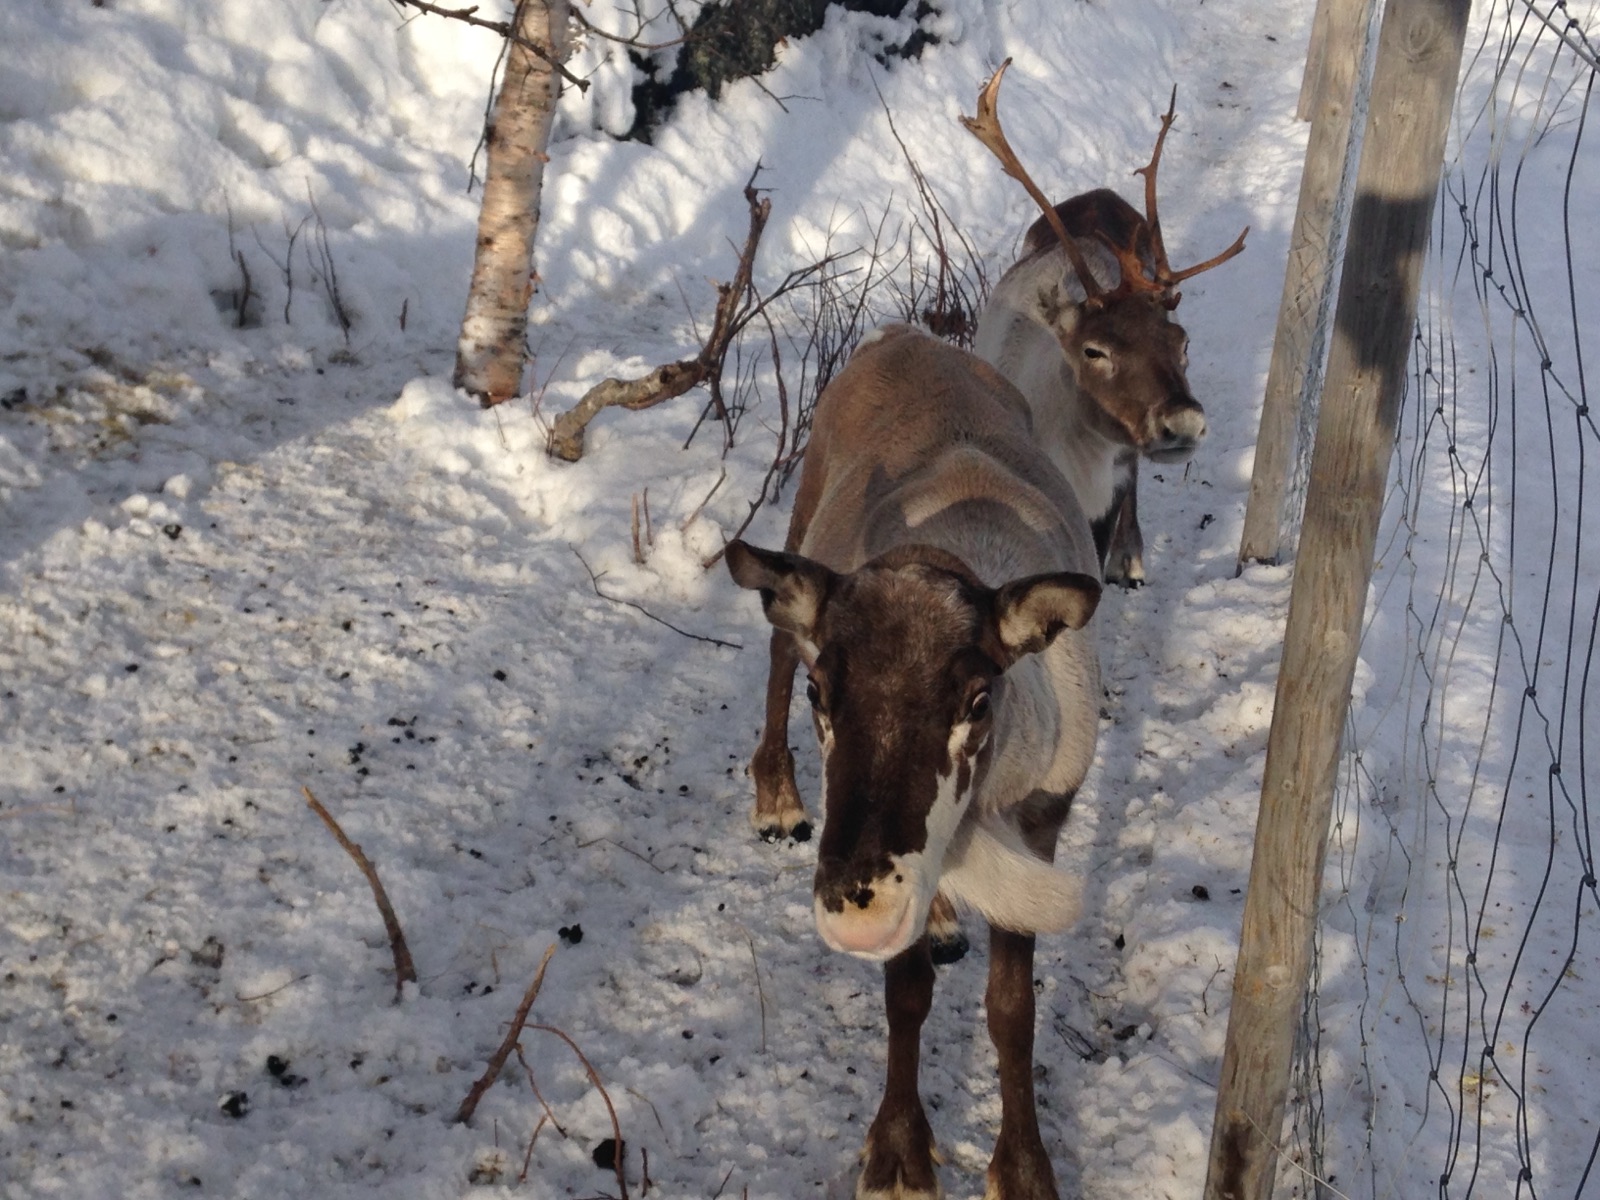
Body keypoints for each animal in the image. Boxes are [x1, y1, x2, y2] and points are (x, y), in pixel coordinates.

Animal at [726, 319, 1102, 1199]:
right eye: (824, 693)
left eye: (977, 699)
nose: (856, 908)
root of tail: (905, 334)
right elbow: (907, 995)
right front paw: (898, 1153)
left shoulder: (1044, 818)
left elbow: (1012, 1008)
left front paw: (1022, 1167)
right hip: (804, 507)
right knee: (775, 643)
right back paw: (777, 796)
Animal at [969, 61, 1248, 588]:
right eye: (1093, 350)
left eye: (1183, 342)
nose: (1184, 421)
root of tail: (1100, 193)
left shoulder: (1106, 492)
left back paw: (1130, 558)